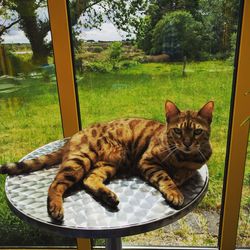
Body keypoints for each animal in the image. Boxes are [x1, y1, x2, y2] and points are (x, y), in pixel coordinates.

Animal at [0, 99, 214, 221]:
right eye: (178, 131)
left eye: (197, 132)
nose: (187, 143)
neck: (183, 156)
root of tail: (74, 136)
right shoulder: (147, 161)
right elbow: (165, 177)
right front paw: (175, 190)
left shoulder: (195, 163)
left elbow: (188, 172)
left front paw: (180, 176)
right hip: (81, 159)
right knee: (55, 184)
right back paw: (56, 207)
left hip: (108, 164)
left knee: (89, 180)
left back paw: (108, 196)